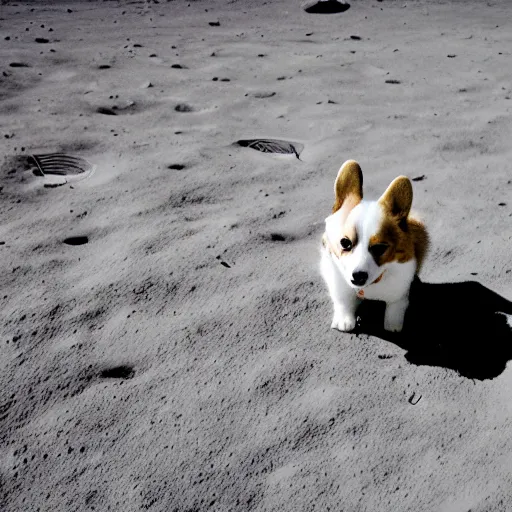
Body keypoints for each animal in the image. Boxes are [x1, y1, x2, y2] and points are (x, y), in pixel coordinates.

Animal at [320, 160, 428, 332]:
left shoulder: (399, 290)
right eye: (345, 243)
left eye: (379, 248)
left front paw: (393, 325)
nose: (358, 276)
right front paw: (344, 320)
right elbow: (343, 301)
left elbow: (395, 306)